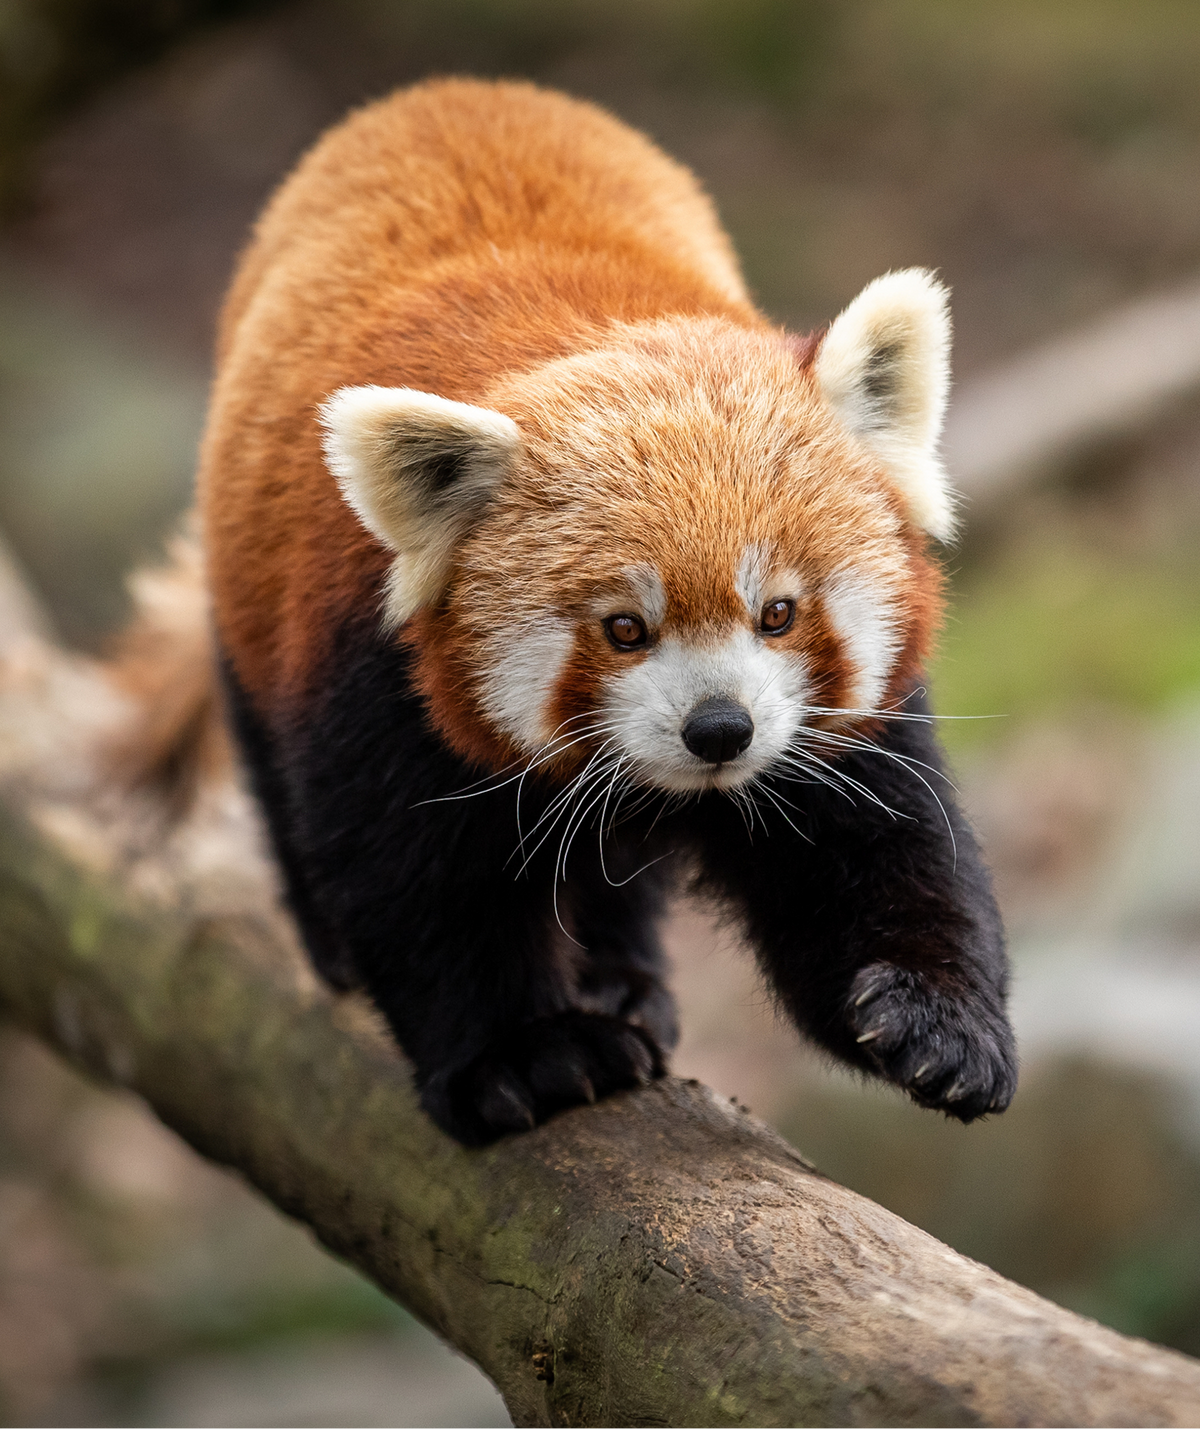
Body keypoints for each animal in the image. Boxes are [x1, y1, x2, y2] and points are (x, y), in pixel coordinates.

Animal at [152, 76, 1016, 1145]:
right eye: (624, 629)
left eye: (777, 612)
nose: (719, 729)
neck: (599, 334)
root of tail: (450, 89)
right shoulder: (370, 667)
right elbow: (416, 877)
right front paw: (526, 1053)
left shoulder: (833, 725)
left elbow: (877, 843)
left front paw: (937, 1021)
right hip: (247, 594)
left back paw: (618, 975)